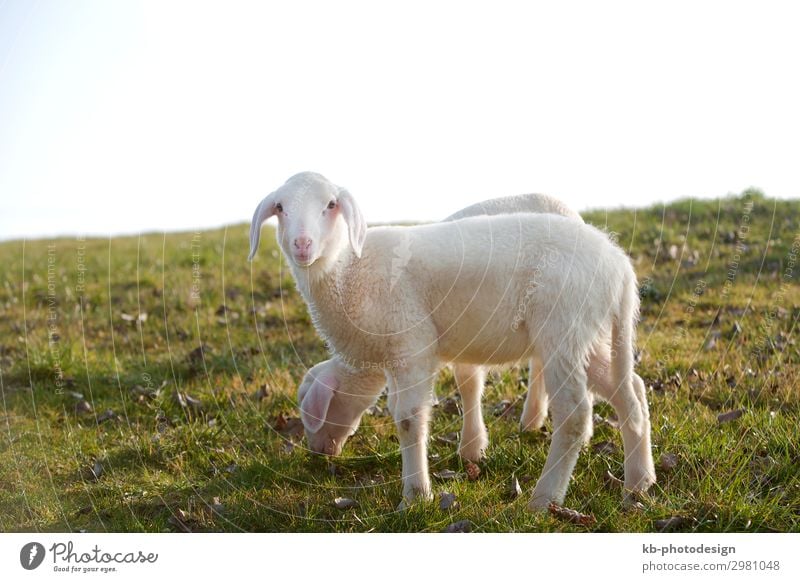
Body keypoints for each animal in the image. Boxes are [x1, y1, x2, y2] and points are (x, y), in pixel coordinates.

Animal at [250, 172, 656, 512]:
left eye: (330, 205)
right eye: (280, 208)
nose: (302, 245)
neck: (347, 273)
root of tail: (619, 267)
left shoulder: (411, 342)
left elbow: (409, 419)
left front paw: (416, 497)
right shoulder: (403, 353)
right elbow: (428, 400)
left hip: (564, 327)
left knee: (575, 415)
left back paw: (545, 498)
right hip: (587, 335)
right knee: (631, 394)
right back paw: (638, 484)